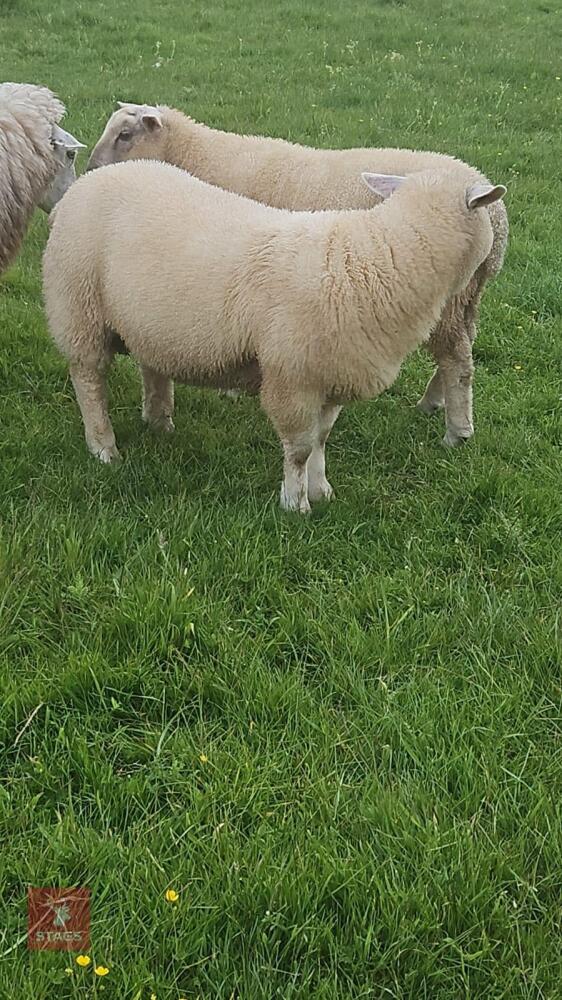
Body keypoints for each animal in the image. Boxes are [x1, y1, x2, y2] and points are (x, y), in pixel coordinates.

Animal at [40, 162, 504, 516]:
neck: (376, 259)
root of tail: (84, 184)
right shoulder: (292, 377)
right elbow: (299, 447)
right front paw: (295, 504)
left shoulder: (330, 375)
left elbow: (321, 439)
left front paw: (321, 489)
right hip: (78, 305)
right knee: (88, 381)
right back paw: (104, 448)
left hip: (146, 322)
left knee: (152, 368)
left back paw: (160, 424)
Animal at [87, 102, 508, 446]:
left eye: (125, 134)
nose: (90, 171)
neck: (198, 155)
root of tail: (493, 209)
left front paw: (232, 391)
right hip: (467, 296)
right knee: (462, 348)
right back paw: (434, 402)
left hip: (450, 297)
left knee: (456, 358)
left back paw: (456, 430)